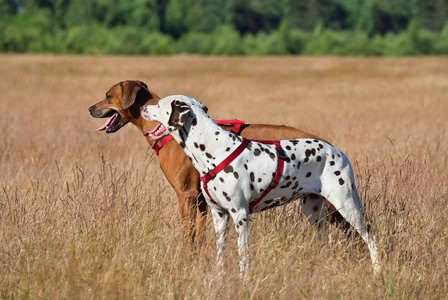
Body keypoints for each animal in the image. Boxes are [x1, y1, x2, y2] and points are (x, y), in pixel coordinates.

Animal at [89, 81, 344, 244]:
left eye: (107, 95)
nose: (90, 108)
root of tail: (329, 143)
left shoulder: (187, 195)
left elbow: (188, 236)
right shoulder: (204, 202)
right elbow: (201, 237)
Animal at [142, 95, 380, 274]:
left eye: (159, 104)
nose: (143, 107)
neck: (213, 150)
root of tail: (338, 151)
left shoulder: (240, 214)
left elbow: (243, 253)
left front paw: (244, 279)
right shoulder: (219, 215)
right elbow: (220, 254)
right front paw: (218, 278)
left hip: (346, 205)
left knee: (370, 235)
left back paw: (378, 271)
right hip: (313, 213)